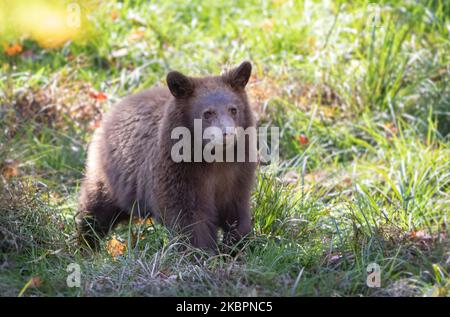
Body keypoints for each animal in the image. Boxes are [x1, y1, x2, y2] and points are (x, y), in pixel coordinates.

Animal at [75, 61, 255, 249]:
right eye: (207, 113)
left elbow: (236, 211)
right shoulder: (179, 172)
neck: (215, 158)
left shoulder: (237, 174)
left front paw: (239, 245)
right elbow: (190, 217)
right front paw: (203, 251)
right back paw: (86, 243)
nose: (228, 134)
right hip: (110, 179)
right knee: (95, 209)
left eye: (233, 110)